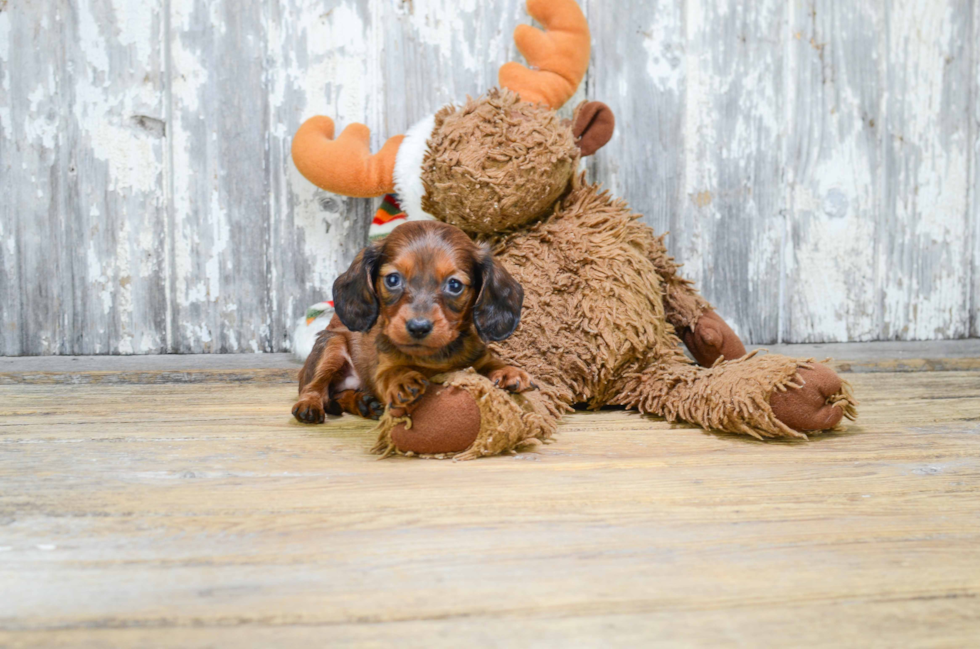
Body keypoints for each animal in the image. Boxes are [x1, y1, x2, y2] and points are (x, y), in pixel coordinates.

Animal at [292, 220, 532, 422]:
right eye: (392, 280)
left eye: (454, 285)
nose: (418, 328)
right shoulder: (382, 368)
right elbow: (392, 372)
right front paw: (403, 381)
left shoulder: (477, 357)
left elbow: (491, 362)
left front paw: (509, 371)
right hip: (331, 345)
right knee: (316, 388)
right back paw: (310, 405)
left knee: (336, 397)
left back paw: (364, 403)